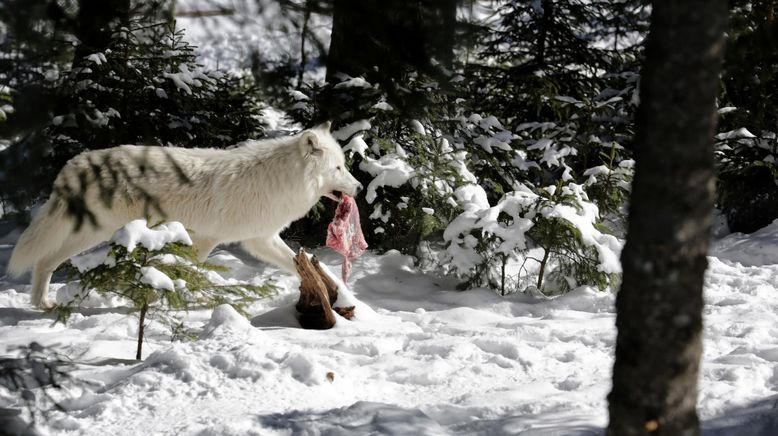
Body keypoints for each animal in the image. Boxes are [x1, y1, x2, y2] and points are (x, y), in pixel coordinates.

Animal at [6, 121, 360, 308]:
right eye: (338, 168)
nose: (358, 187)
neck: (280, 179)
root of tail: (75, 163)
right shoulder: (207, 238)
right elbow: (192, 271)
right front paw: (188, 298)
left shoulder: (259, 239)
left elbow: (299, 264)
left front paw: (341, 296)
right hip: (90, 233)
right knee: (44, 260)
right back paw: (42, 303)